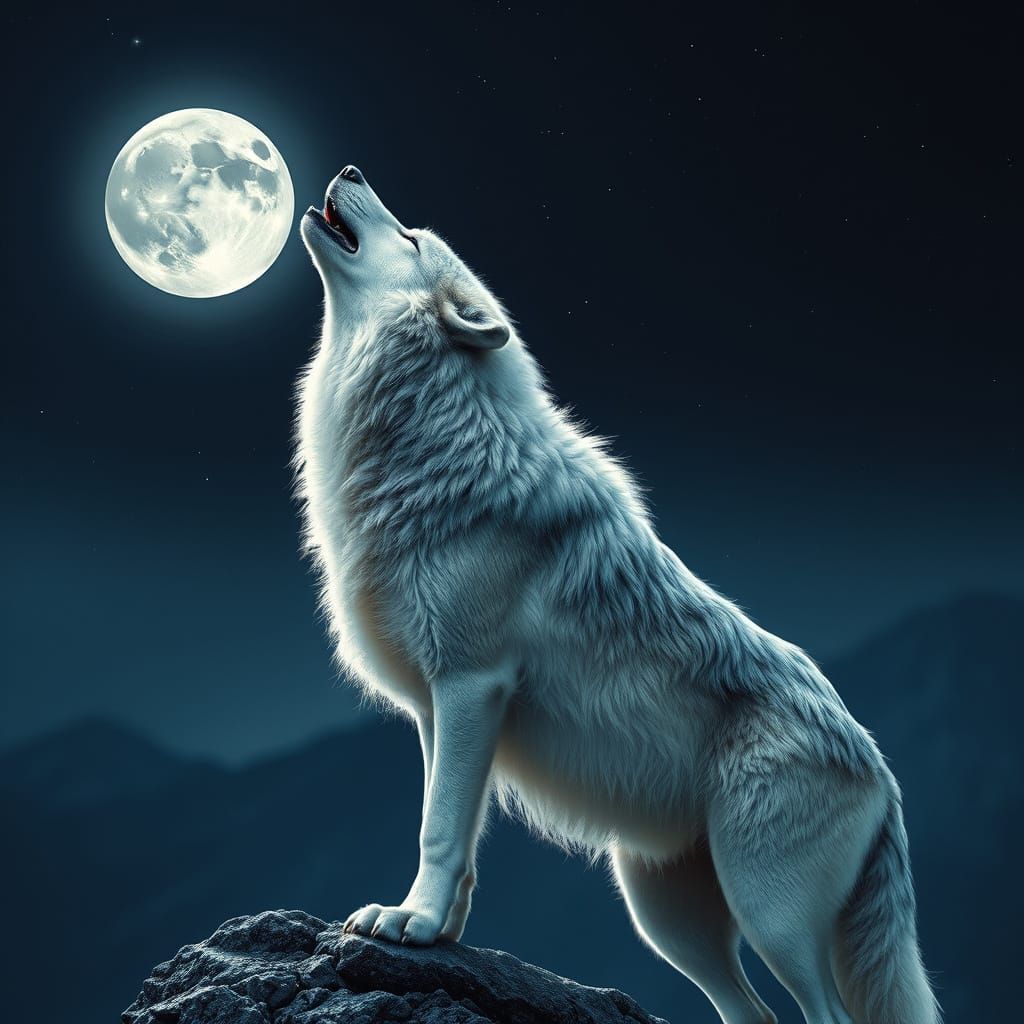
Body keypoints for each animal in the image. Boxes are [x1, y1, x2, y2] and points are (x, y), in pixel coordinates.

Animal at [296, 165, 940, 1024]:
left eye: (412, 239)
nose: (351, 172)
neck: (437, 444)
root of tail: (884, 771)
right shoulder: (438, 707)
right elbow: (454, 831)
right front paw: (439, 930)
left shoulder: (471, 685)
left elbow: (439, 830)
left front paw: (416, 925)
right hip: (661, 915)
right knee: (752, 1012)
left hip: (766, 916)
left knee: (816, 1013)